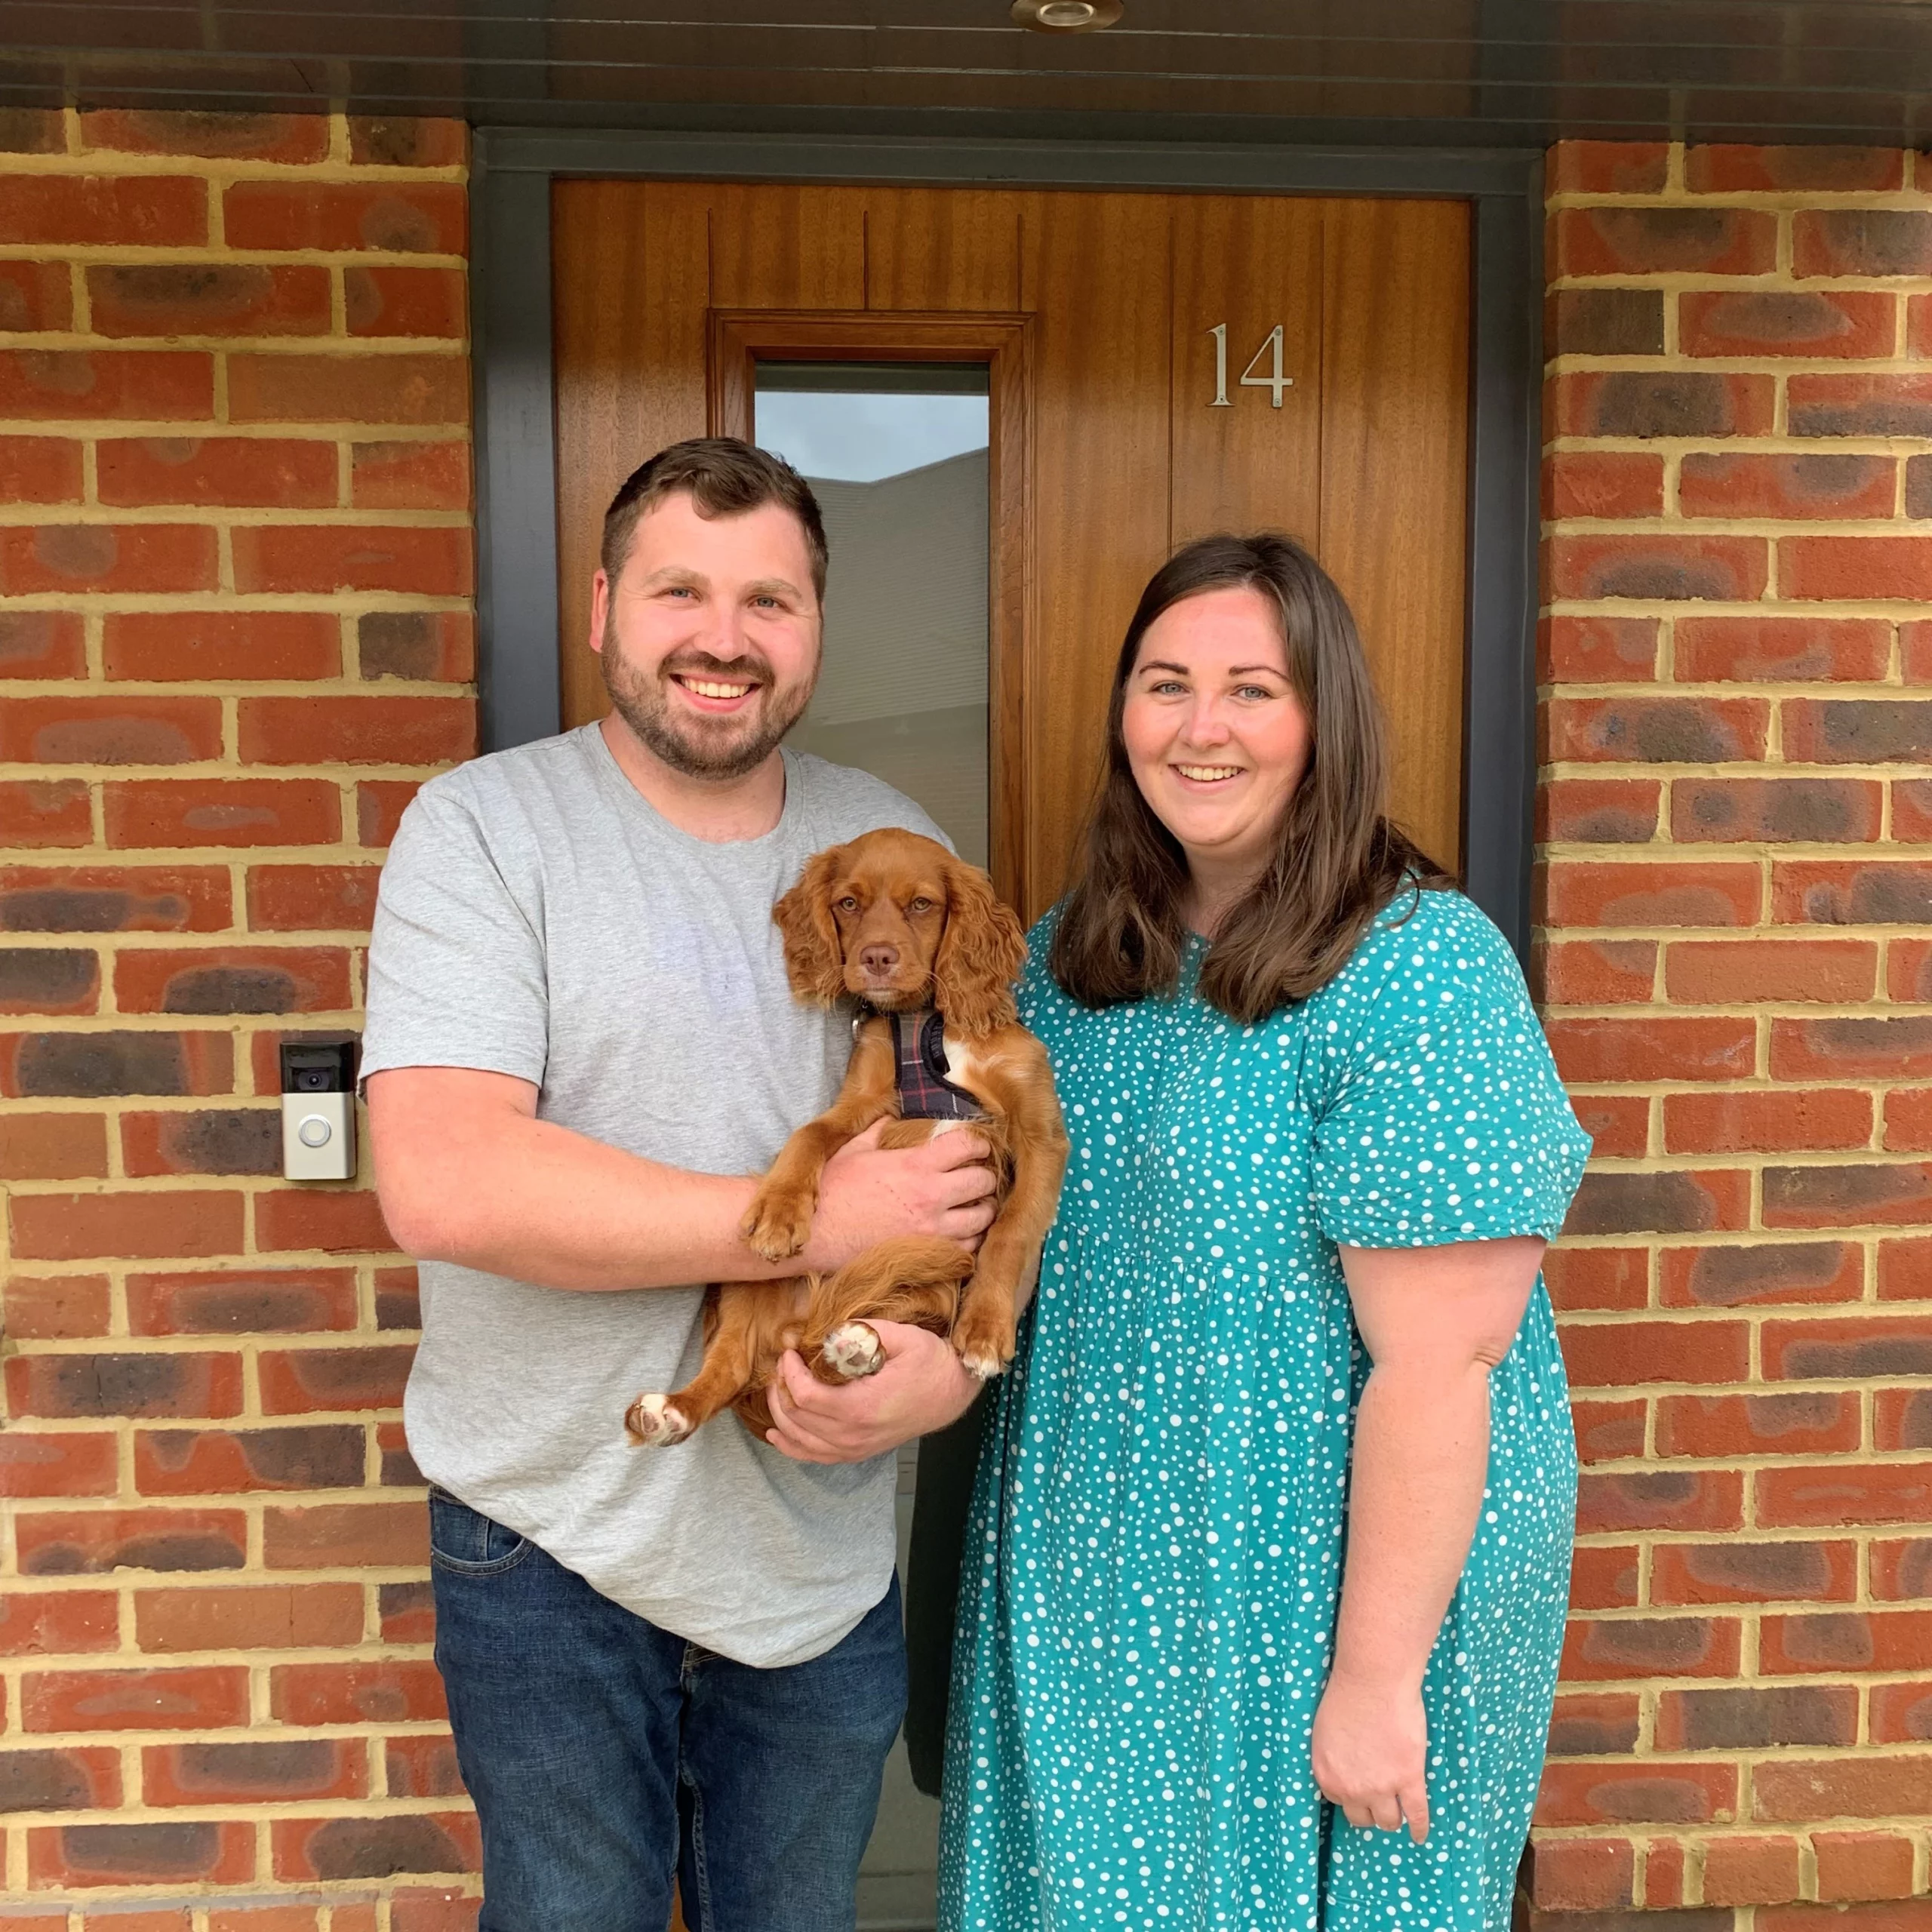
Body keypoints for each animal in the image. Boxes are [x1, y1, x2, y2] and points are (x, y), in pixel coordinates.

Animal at [622, 830, 1066, 1453]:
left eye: (922, 904)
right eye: (848, 904)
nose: (876, 959)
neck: (927, 1023)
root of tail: (798, 1327)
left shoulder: (1038, 1134)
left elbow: (1013, 1229)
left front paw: (984, 1331)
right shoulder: (862, 1101)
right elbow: (810, 1132)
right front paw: (781, 1211)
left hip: (927, 1296)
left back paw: (856, 1347)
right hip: (743, 1278)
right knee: (733, 1363)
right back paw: (673, 1410)